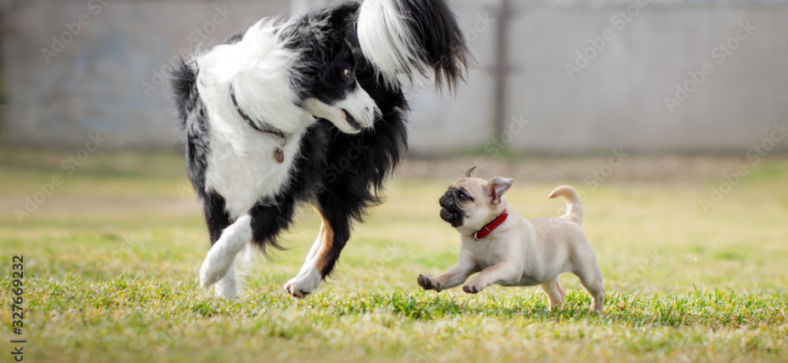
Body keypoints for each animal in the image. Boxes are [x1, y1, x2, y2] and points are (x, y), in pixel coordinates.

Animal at [170, 0, 470, 298]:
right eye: (346, 73)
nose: (376, 114)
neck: (258, 106)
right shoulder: (213, 182)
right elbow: (221, 232)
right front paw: (225, 294)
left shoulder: (283, 189)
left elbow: (239, 229)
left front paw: (210, 271)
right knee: (330, 226)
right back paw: (303, 274)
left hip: (337, 168)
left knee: (339, 229)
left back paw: (306, 280)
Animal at [418, 168, 604, 312]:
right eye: (450, 189)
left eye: (462, 195)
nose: (446, 195)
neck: (485, 231)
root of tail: (570, 218)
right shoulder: (463, 267)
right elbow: (448, 275)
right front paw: (432, 281)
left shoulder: (509, 266)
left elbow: (488, 270)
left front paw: (475, 283)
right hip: (546, 275)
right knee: (557, 294)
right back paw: (553, 312)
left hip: (588, 274)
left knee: (598, 292)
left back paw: (595, 311)